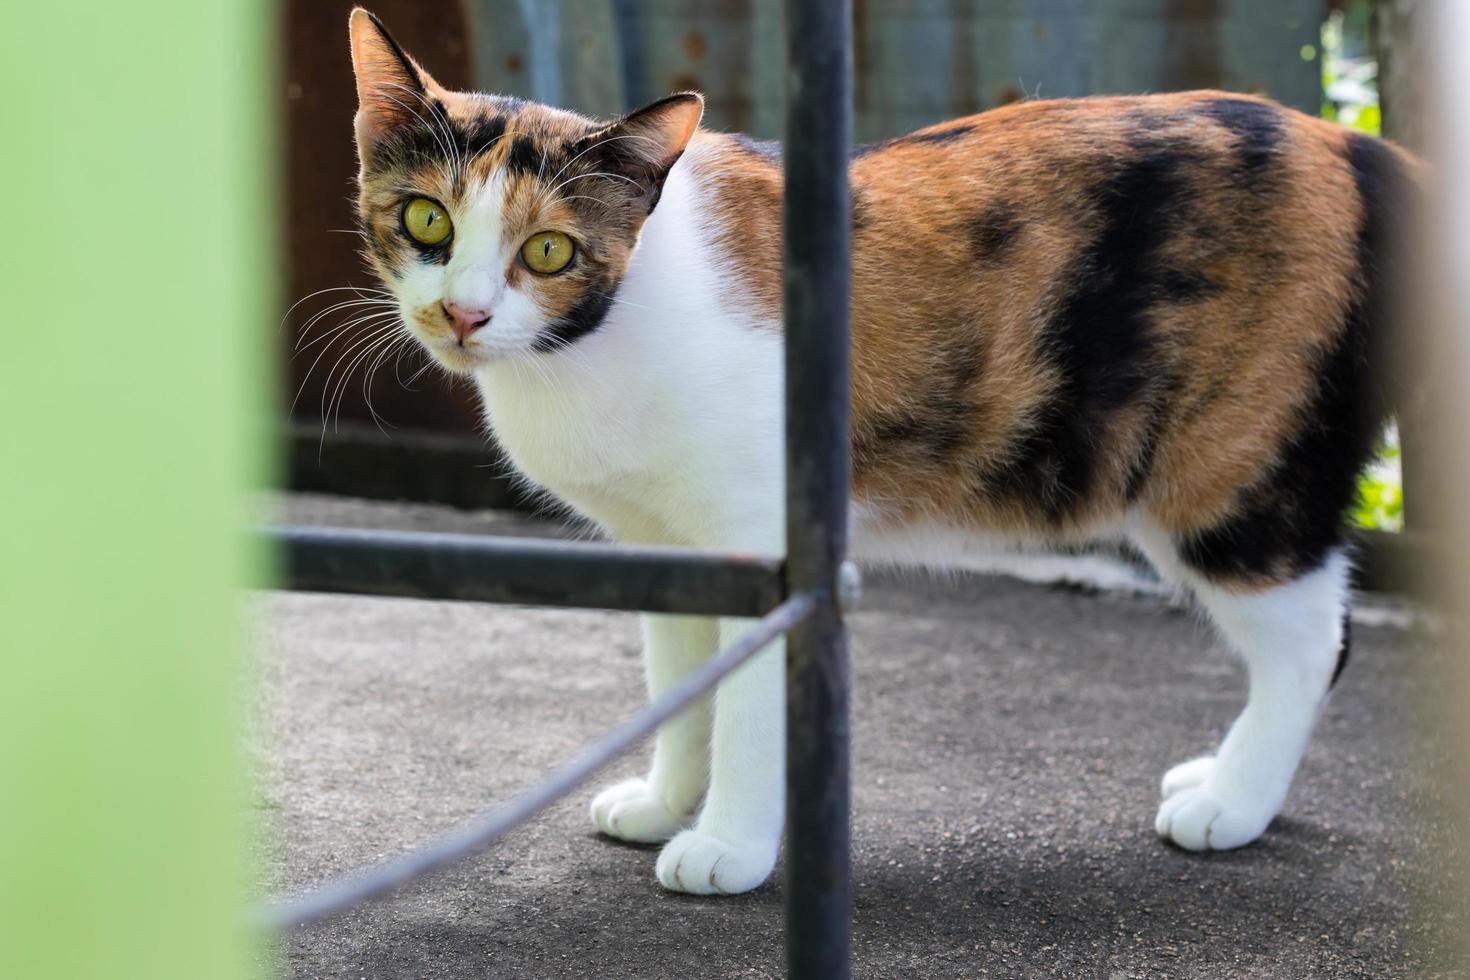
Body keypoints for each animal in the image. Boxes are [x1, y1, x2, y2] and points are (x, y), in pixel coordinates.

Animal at [343, 9, 1422, 899]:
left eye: (550, 251)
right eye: (428, 220)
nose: (463, 313)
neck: (604, 330)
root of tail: (1353, 143)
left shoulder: (764, 541)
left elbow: (747, 708)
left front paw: (726, 843)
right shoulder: (668, 548)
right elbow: (679, 691)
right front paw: (663, 800)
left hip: (1229, 473)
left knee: (1311, 637)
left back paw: (1231, 801)